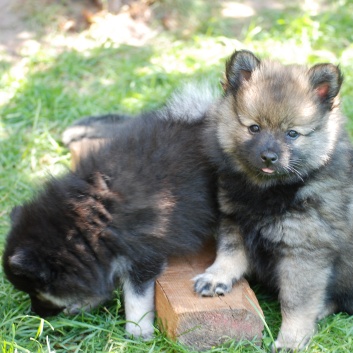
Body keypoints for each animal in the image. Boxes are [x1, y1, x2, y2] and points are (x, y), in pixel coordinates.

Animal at [2, 85, 217, 338]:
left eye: (36, 291)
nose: (36, 312)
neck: (88, 220)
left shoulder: (142, 252)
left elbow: (136, 295)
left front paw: (137, 331)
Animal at [192, 49, 352, 350]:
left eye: (292, 133)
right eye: (254, 128)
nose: (269, 157)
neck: (268, 192)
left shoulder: (304, 253)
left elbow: (295, 303)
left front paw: (291, 339)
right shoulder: (235, 221)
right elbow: (229, 254)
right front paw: (216, 276)